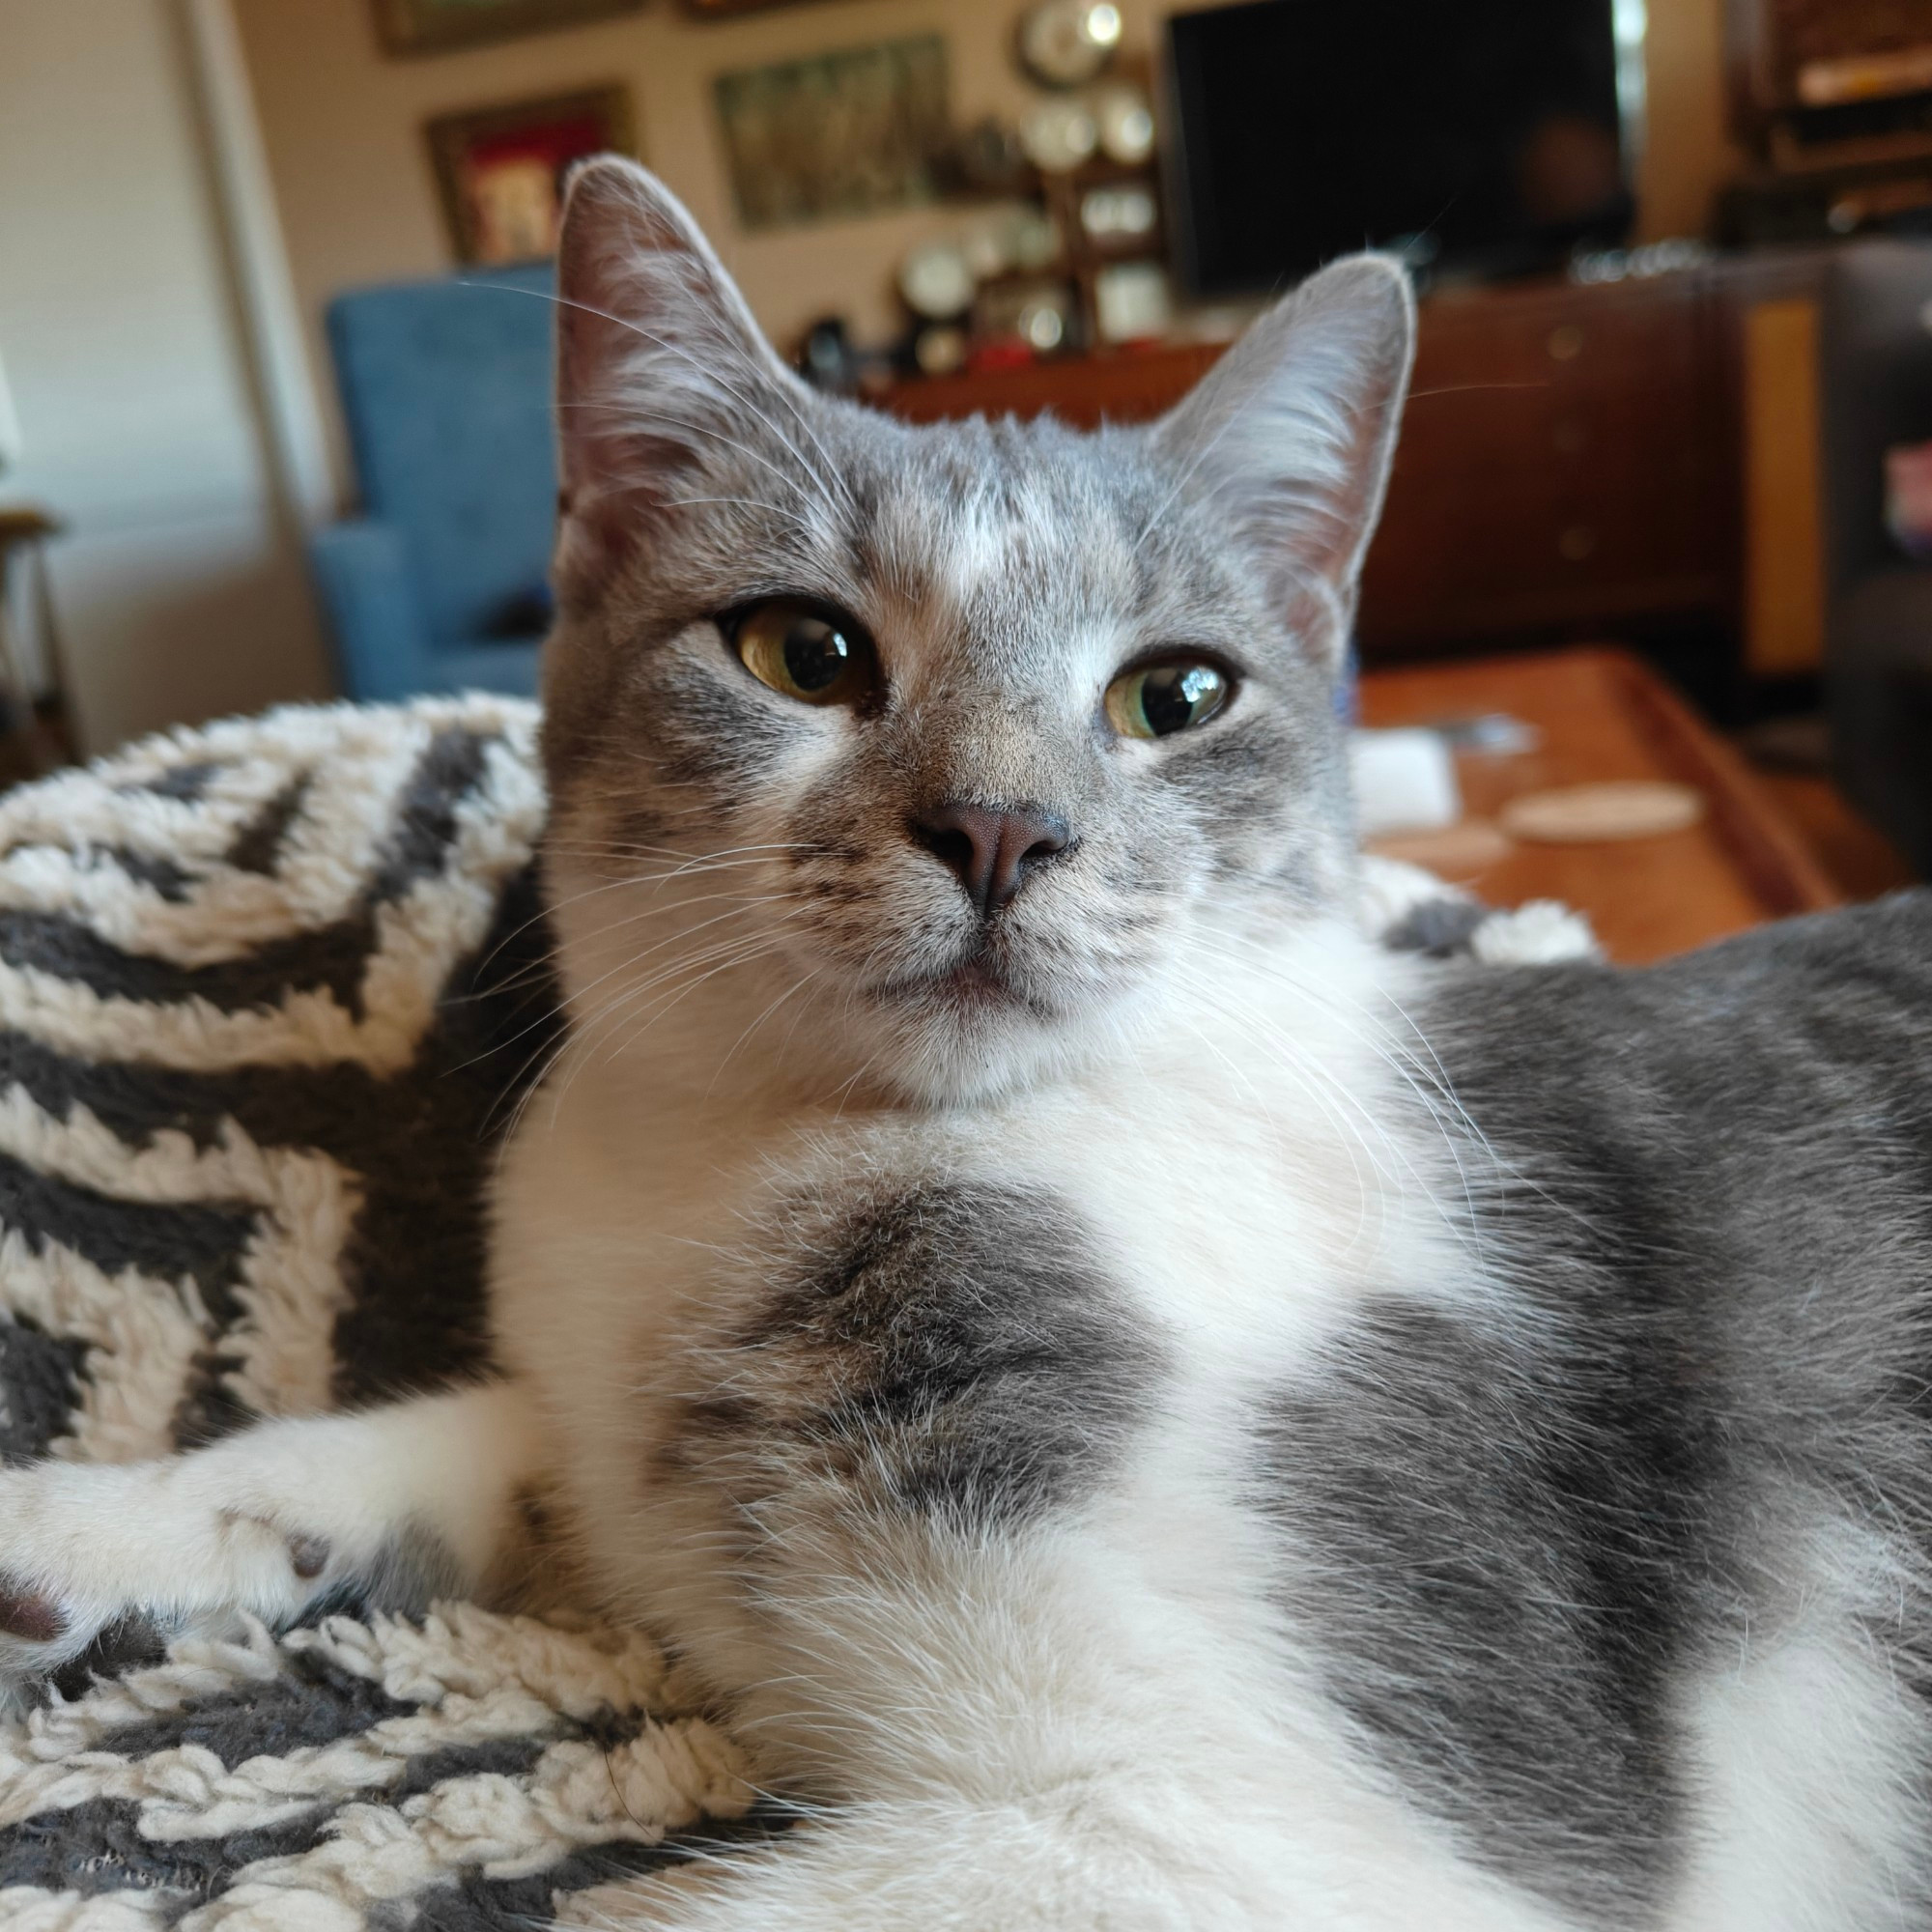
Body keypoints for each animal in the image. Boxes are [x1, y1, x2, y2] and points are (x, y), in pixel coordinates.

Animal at [3, 158, 1932, 1924]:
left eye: (1177, 694)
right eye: (802, 650)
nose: (1001, 826)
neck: (783, 1161)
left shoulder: (1261, 1830)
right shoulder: (608, 1403)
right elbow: (504, 1435)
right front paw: (110, 1522)